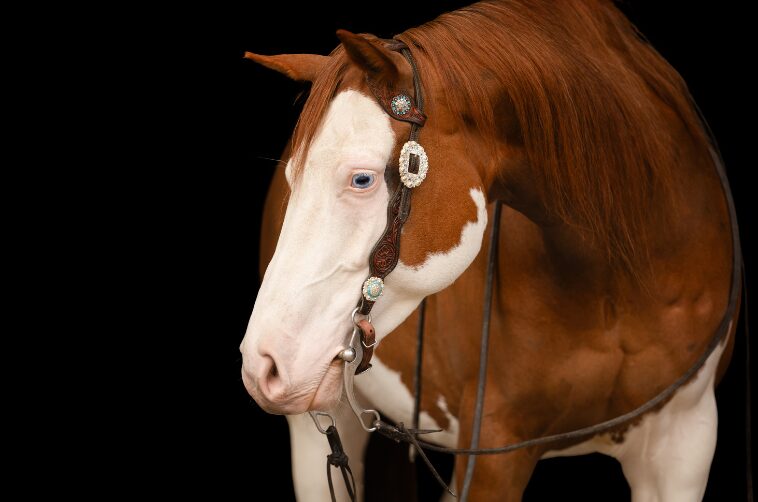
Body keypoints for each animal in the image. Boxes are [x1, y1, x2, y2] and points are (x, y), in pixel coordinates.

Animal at [239, 1, 740, 500]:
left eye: (361, 179)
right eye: (293, 181)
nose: (262, 365)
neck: (620, 280)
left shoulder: (683, 444)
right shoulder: (493, 452)